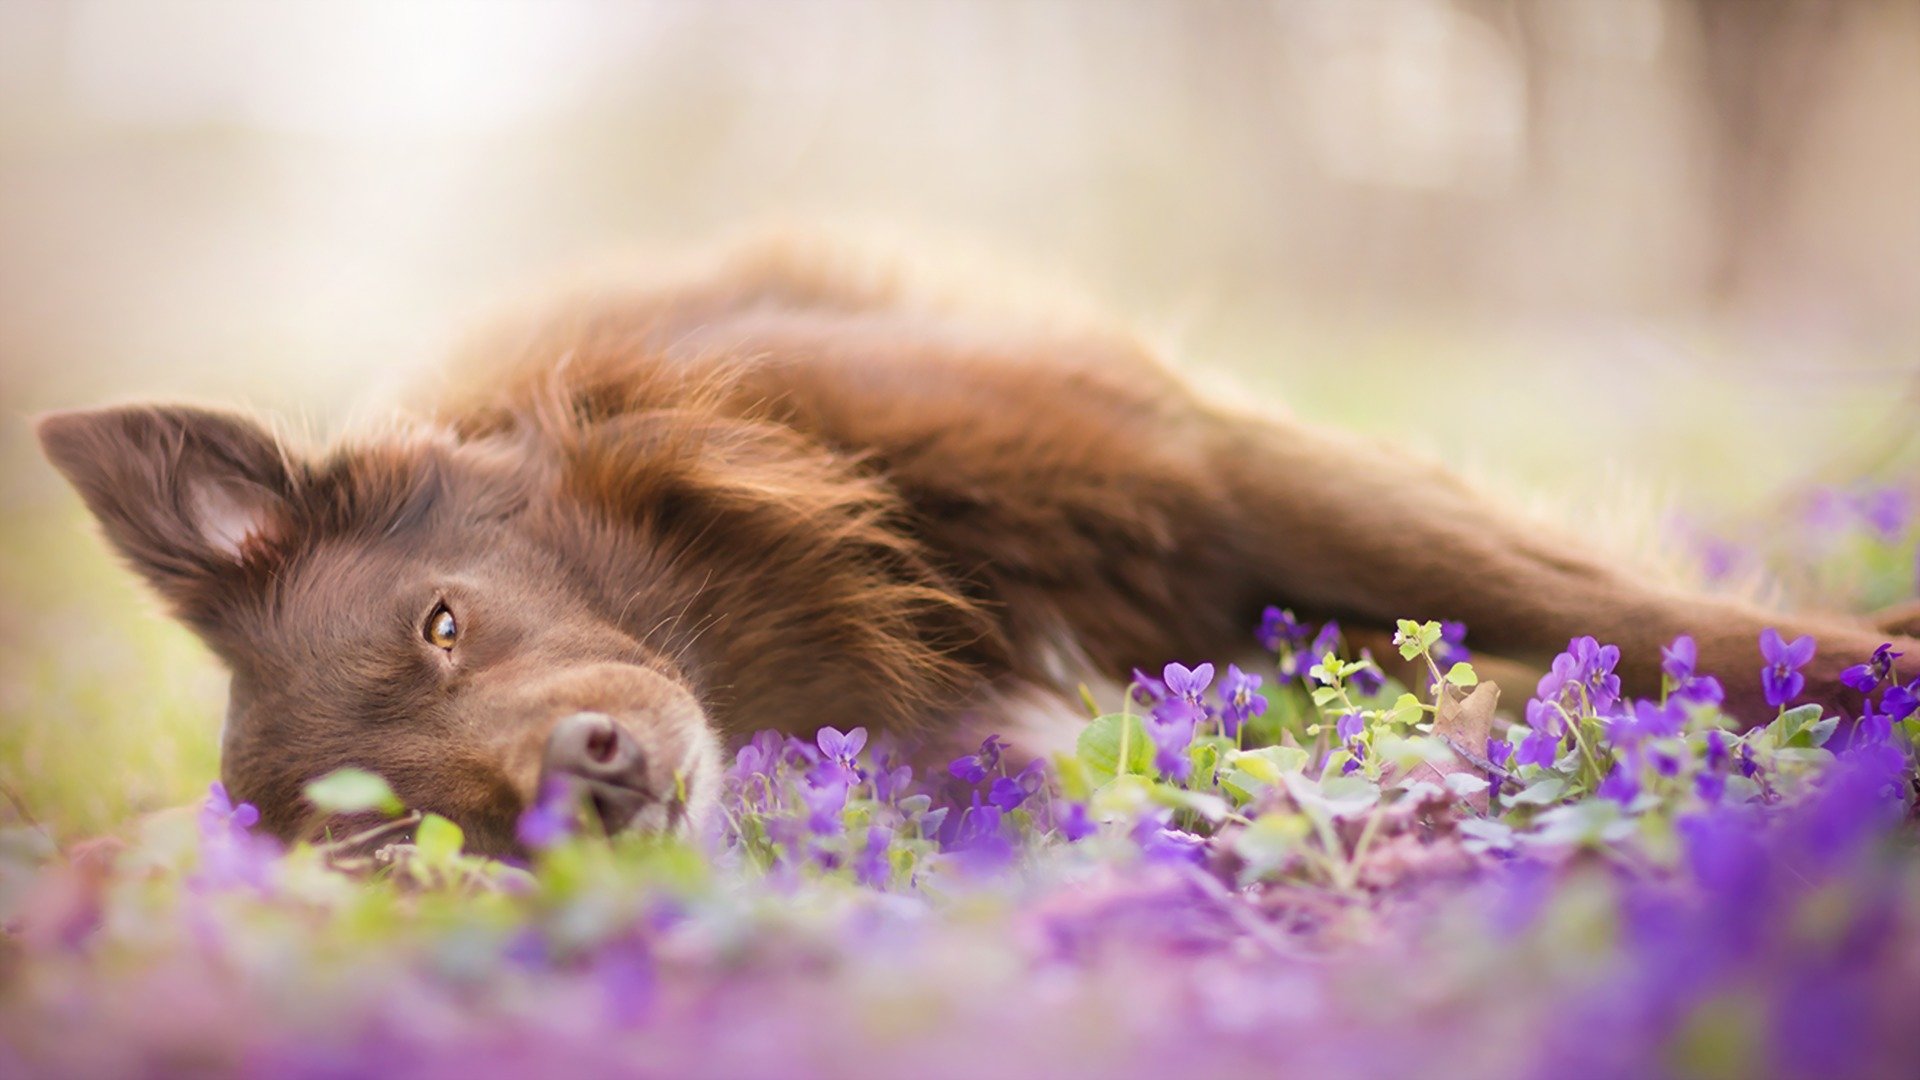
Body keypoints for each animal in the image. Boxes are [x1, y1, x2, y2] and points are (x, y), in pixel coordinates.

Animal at [37, 239, 1912, 853]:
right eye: (398, 838)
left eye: (440, 624)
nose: (597, 778)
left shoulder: (1211, 464)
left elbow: (1644, 611)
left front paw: (1874, 677)